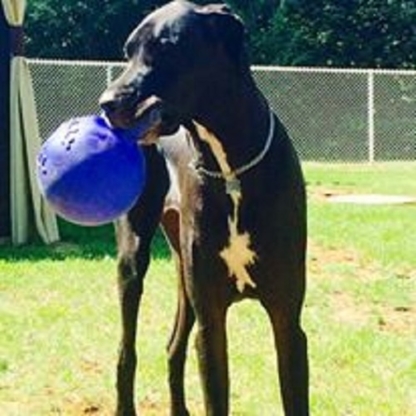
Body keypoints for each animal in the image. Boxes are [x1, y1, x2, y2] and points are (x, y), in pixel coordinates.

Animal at [100, 1, 308, 414]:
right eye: (127, 51)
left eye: (165, 47)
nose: (107, 103)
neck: (231, 170)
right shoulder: (211, 324)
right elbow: (216, 396)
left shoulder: (287, 320)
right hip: (134, 261)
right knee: (126, 351)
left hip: (183, 271)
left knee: (172, 346)